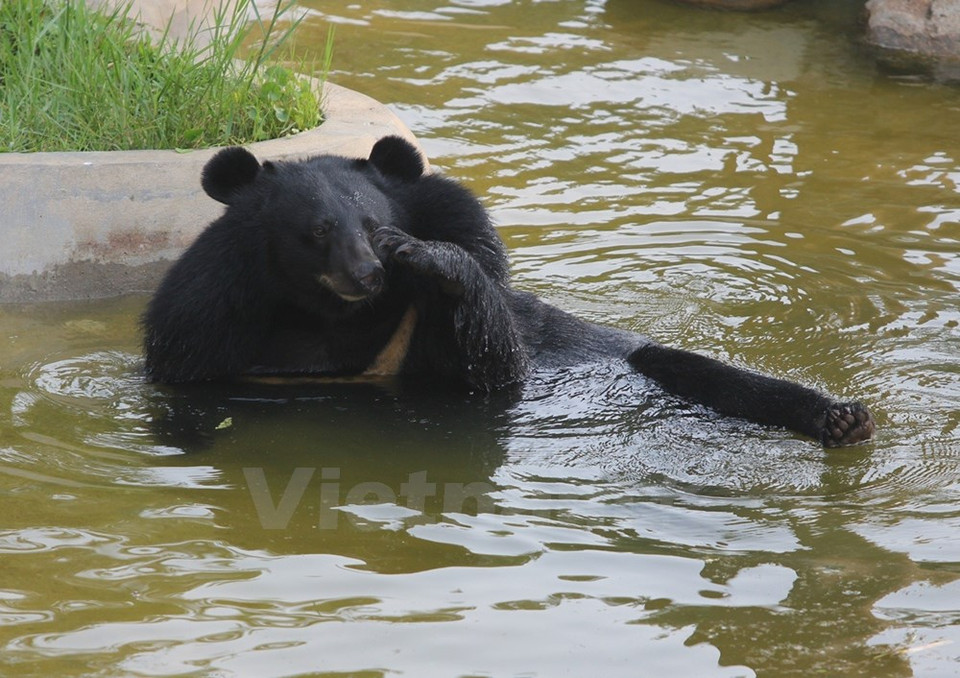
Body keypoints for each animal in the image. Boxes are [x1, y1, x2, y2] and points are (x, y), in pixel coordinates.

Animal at [142, 136, 876, 448]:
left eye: (374, 226)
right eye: (317, 232)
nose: (368, 272)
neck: (333, 316)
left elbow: (494, 361)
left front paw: (429, 259)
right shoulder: (208, 321)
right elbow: (187, 381)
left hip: (623, 353)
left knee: (703, 372)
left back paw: (841, 417)